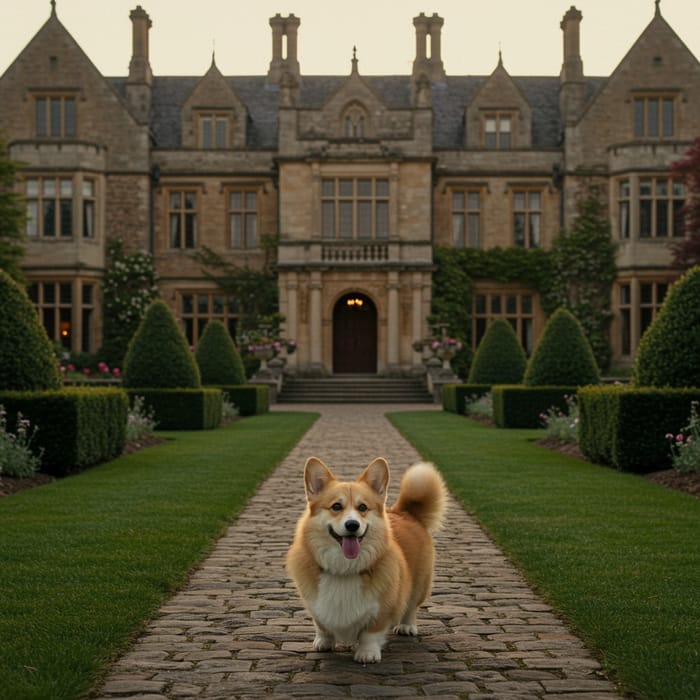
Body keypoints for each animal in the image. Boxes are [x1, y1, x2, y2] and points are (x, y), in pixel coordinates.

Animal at [286, 456, 446, 664]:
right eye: (336, 506)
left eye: (362, 507)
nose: (352, 525)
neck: (344, 568)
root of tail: (406, 512)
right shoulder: (315, 604)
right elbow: (321, 625)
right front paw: (323, 642)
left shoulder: (381, 608)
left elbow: (371, 633)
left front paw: (367, 654)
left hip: (419, 584)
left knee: (411, 607)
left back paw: (407, 626)